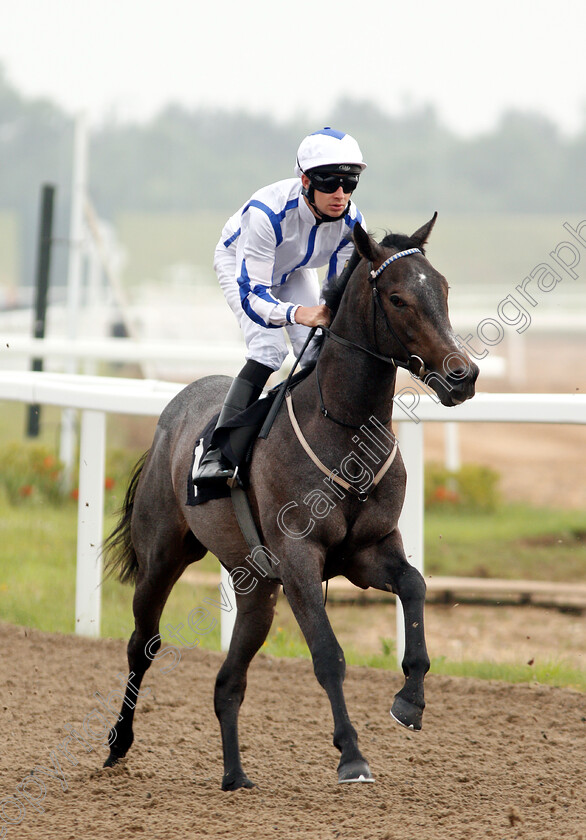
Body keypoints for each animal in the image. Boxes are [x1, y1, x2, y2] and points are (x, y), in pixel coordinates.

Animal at [104, 215, 480, 788]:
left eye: (442, 289)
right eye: (397, 299)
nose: (463, 376)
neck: (345, 430)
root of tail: (174, 409)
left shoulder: (367, 550)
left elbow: (414, 585)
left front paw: (410, 700)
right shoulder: (300, 558)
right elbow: (327, 654)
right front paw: (352, 755)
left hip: (256, 587)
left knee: (227, 683)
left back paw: (235, 777)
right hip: (163, 557)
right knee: (142, 643)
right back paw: (118, 742)